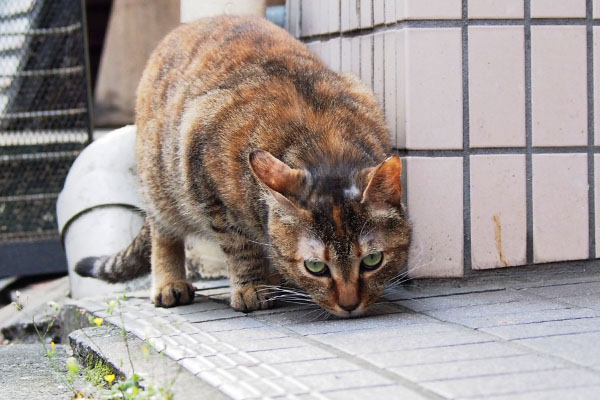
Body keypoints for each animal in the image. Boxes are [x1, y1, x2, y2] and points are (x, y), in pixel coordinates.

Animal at [76, 14, 412, 318]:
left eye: (372, 261)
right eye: (316, 266)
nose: (349, 305)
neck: (322, 145)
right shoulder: (211, 189)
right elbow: (240, 247)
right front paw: (251, 287)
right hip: (160, 181)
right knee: (163, 230)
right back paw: (169, 283)